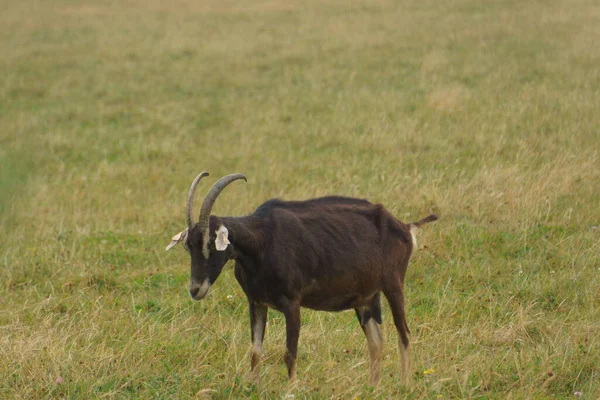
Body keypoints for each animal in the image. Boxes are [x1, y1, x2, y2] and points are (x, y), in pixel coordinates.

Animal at [166, 171, 438, 384]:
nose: (195, 289)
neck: (262, 241)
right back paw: (373, 387)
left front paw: (290, 389)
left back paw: (403, 385)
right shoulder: (257, 302)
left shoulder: (292, 303)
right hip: (364, 299)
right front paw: (253, 386)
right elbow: (255, 350)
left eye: (211, 244)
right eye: (188, 246)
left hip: (394, 285)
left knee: (403, 335)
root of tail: (405, 226)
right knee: (376, 341)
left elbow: (290, 352)